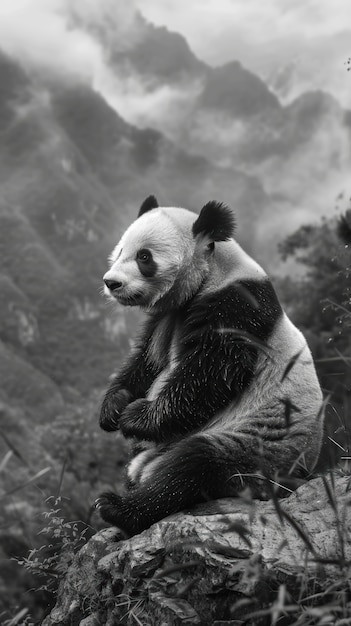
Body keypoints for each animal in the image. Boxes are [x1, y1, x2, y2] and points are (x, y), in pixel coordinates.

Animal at [95, 196, 324, 536]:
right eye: (120, 250)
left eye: (144, 257)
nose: (112, 282)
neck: (212, 272)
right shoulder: (166, 318)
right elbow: (146, 362)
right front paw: (113, 407)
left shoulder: (237, 307)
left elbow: (209, 375)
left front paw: (135, 416)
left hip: (258, 448)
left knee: (193, 468)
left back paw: (117, 507)